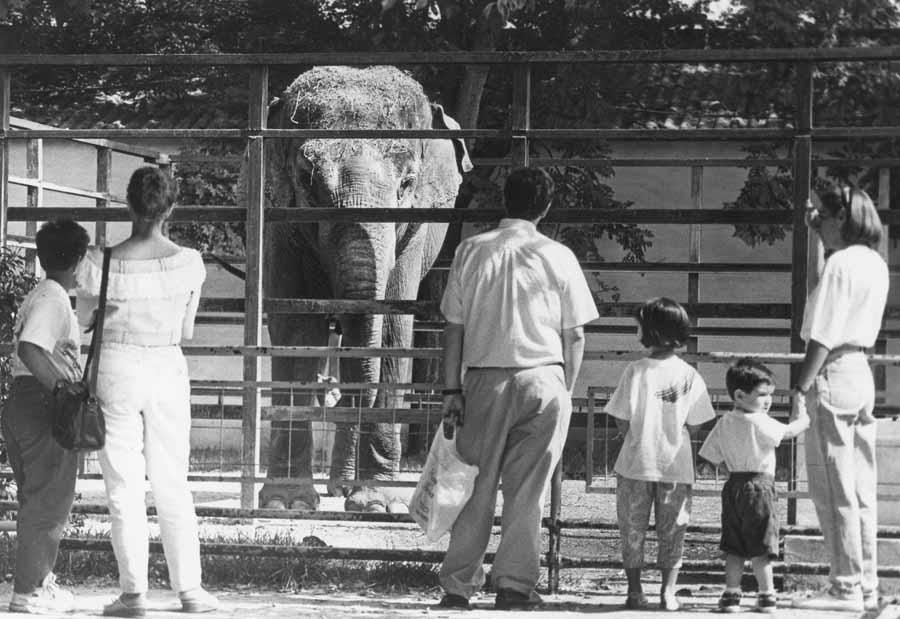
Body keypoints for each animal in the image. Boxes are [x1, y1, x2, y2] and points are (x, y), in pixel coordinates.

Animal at [246, 66, 472, 512]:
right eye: (306, 180)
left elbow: (390, 328)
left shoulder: (414, 231)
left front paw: (379, 504)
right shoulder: (279, 224)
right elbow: (297, 326)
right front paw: (287, 503)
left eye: (408, 183)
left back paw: (349, 490)